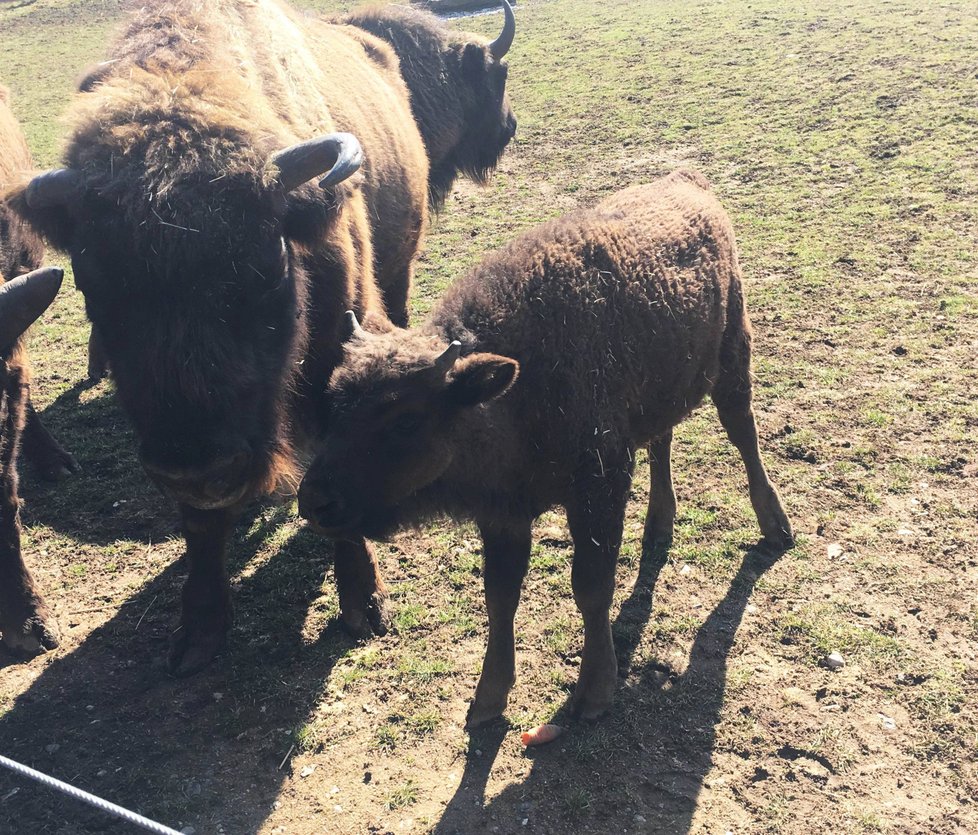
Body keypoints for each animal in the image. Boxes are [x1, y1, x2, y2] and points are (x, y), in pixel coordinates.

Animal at [6, 0, 428, 676]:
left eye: (271, 262)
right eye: (93, 284)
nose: (200, 471)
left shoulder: (333, 359)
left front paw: (364, 606)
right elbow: (201, 528)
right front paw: (199, 634)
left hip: (397, 272)